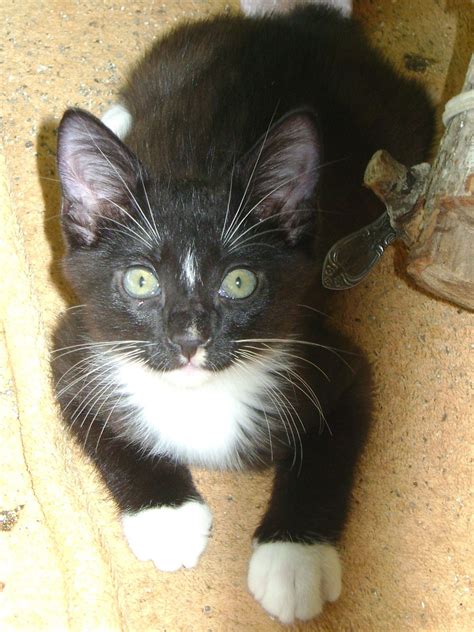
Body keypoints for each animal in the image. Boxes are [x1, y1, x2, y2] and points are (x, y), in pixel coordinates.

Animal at [52, 0, 434, 624]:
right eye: (140, 280)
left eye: (239, 281)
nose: (189, 339)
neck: (197, 397)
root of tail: (305, 21)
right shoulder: (78, 341)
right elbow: (102, 429)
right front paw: (167, 519)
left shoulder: (329, 353)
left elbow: (327, 457)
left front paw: (294, 560)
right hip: (183, 49)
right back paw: (116, 115)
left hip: (401, 122)